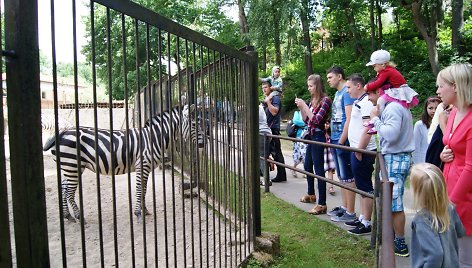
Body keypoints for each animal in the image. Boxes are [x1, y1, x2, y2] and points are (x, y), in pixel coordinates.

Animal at [43, 104, 205, 222]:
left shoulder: (146, 167)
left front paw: (145, 210)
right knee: (69, 192)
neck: (153, 138)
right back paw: (79, 217)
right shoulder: (142, 165)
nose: (204, 144)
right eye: (194, 124)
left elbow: (144, 189)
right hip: (72, 166)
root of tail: (62, 132)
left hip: (70, 167)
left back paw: (67, 216)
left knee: (63, 188)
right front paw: (138, 213)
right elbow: (140, 189)